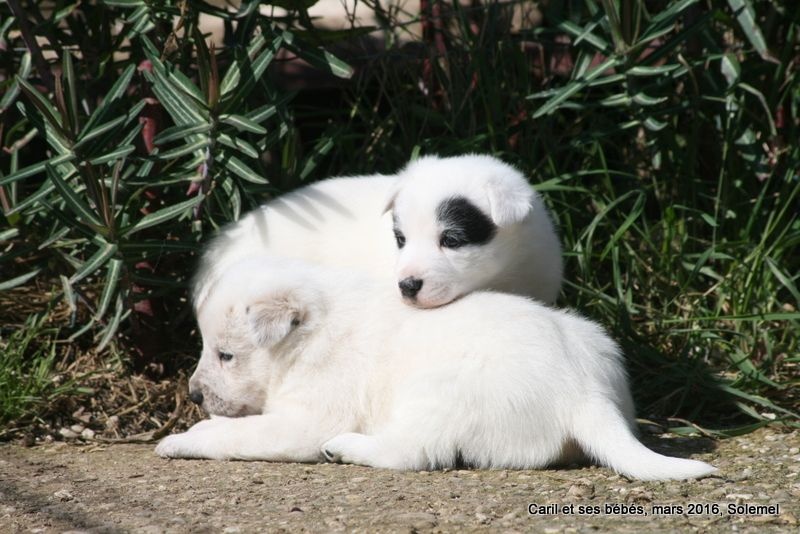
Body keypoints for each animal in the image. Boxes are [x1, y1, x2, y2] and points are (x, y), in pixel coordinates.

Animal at [156, 258, 712, 484]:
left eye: (226, 354)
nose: (194, 395)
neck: (311, 330)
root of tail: (584, 393)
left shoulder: (307, 419)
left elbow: (234, 433)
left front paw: (181, 439)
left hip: (435, 395)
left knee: (410, 453)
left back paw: (348, 447)